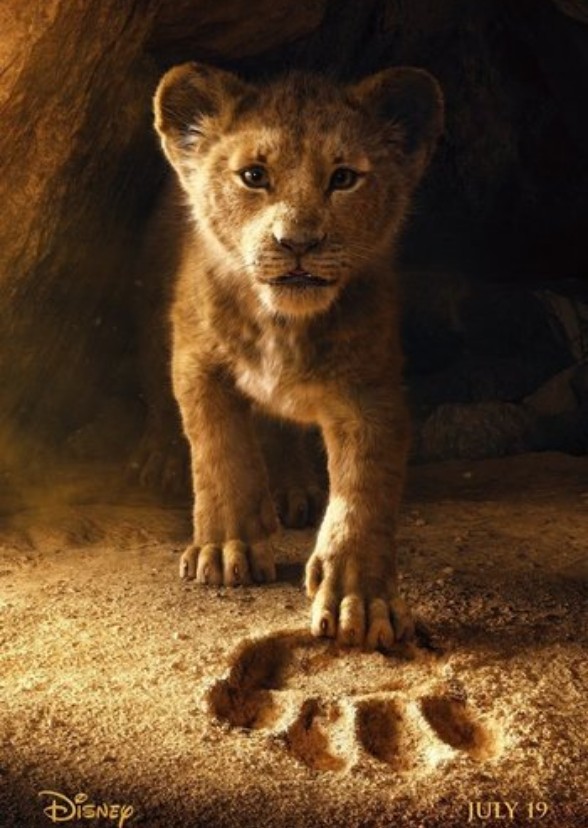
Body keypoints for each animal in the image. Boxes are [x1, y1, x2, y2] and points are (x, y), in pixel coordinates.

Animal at [151, 62, 444, 649]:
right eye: (253, 175)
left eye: (344, 178)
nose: (298, 243)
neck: (282, 323)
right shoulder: (197, 361)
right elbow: (220, 452)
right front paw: (227, 548)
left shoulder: (370, 391)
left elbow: (364, 491)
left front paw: (361, 600)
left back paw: (293, 491)